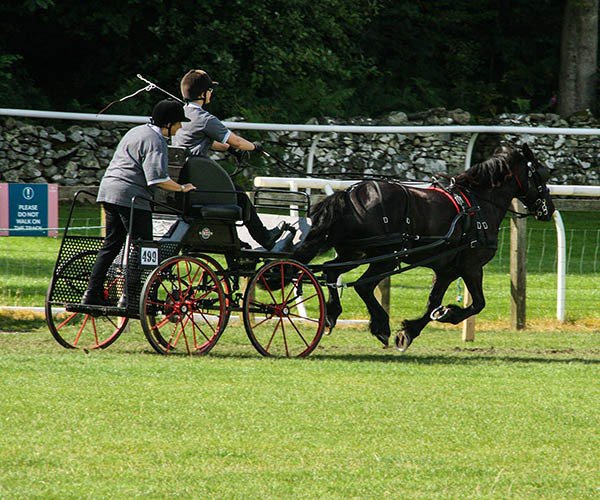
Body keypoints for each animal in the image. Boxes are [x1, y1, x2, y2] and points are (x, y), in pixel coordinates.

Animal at [292, 143, 556, 350]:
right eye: (541, 175)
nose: (549, 209)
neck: (478, 205)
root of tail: (349, 195)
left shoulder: (447, 270)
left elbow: (433, 301)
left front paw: (410, 330)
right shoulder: (471, 266)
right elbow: (478, 303)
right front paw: (448, 314)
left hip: (355, 252)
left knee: (331, 271)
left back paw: (332, 313)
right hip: (385, 257)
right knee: (362, 285)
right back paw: (380, 325)